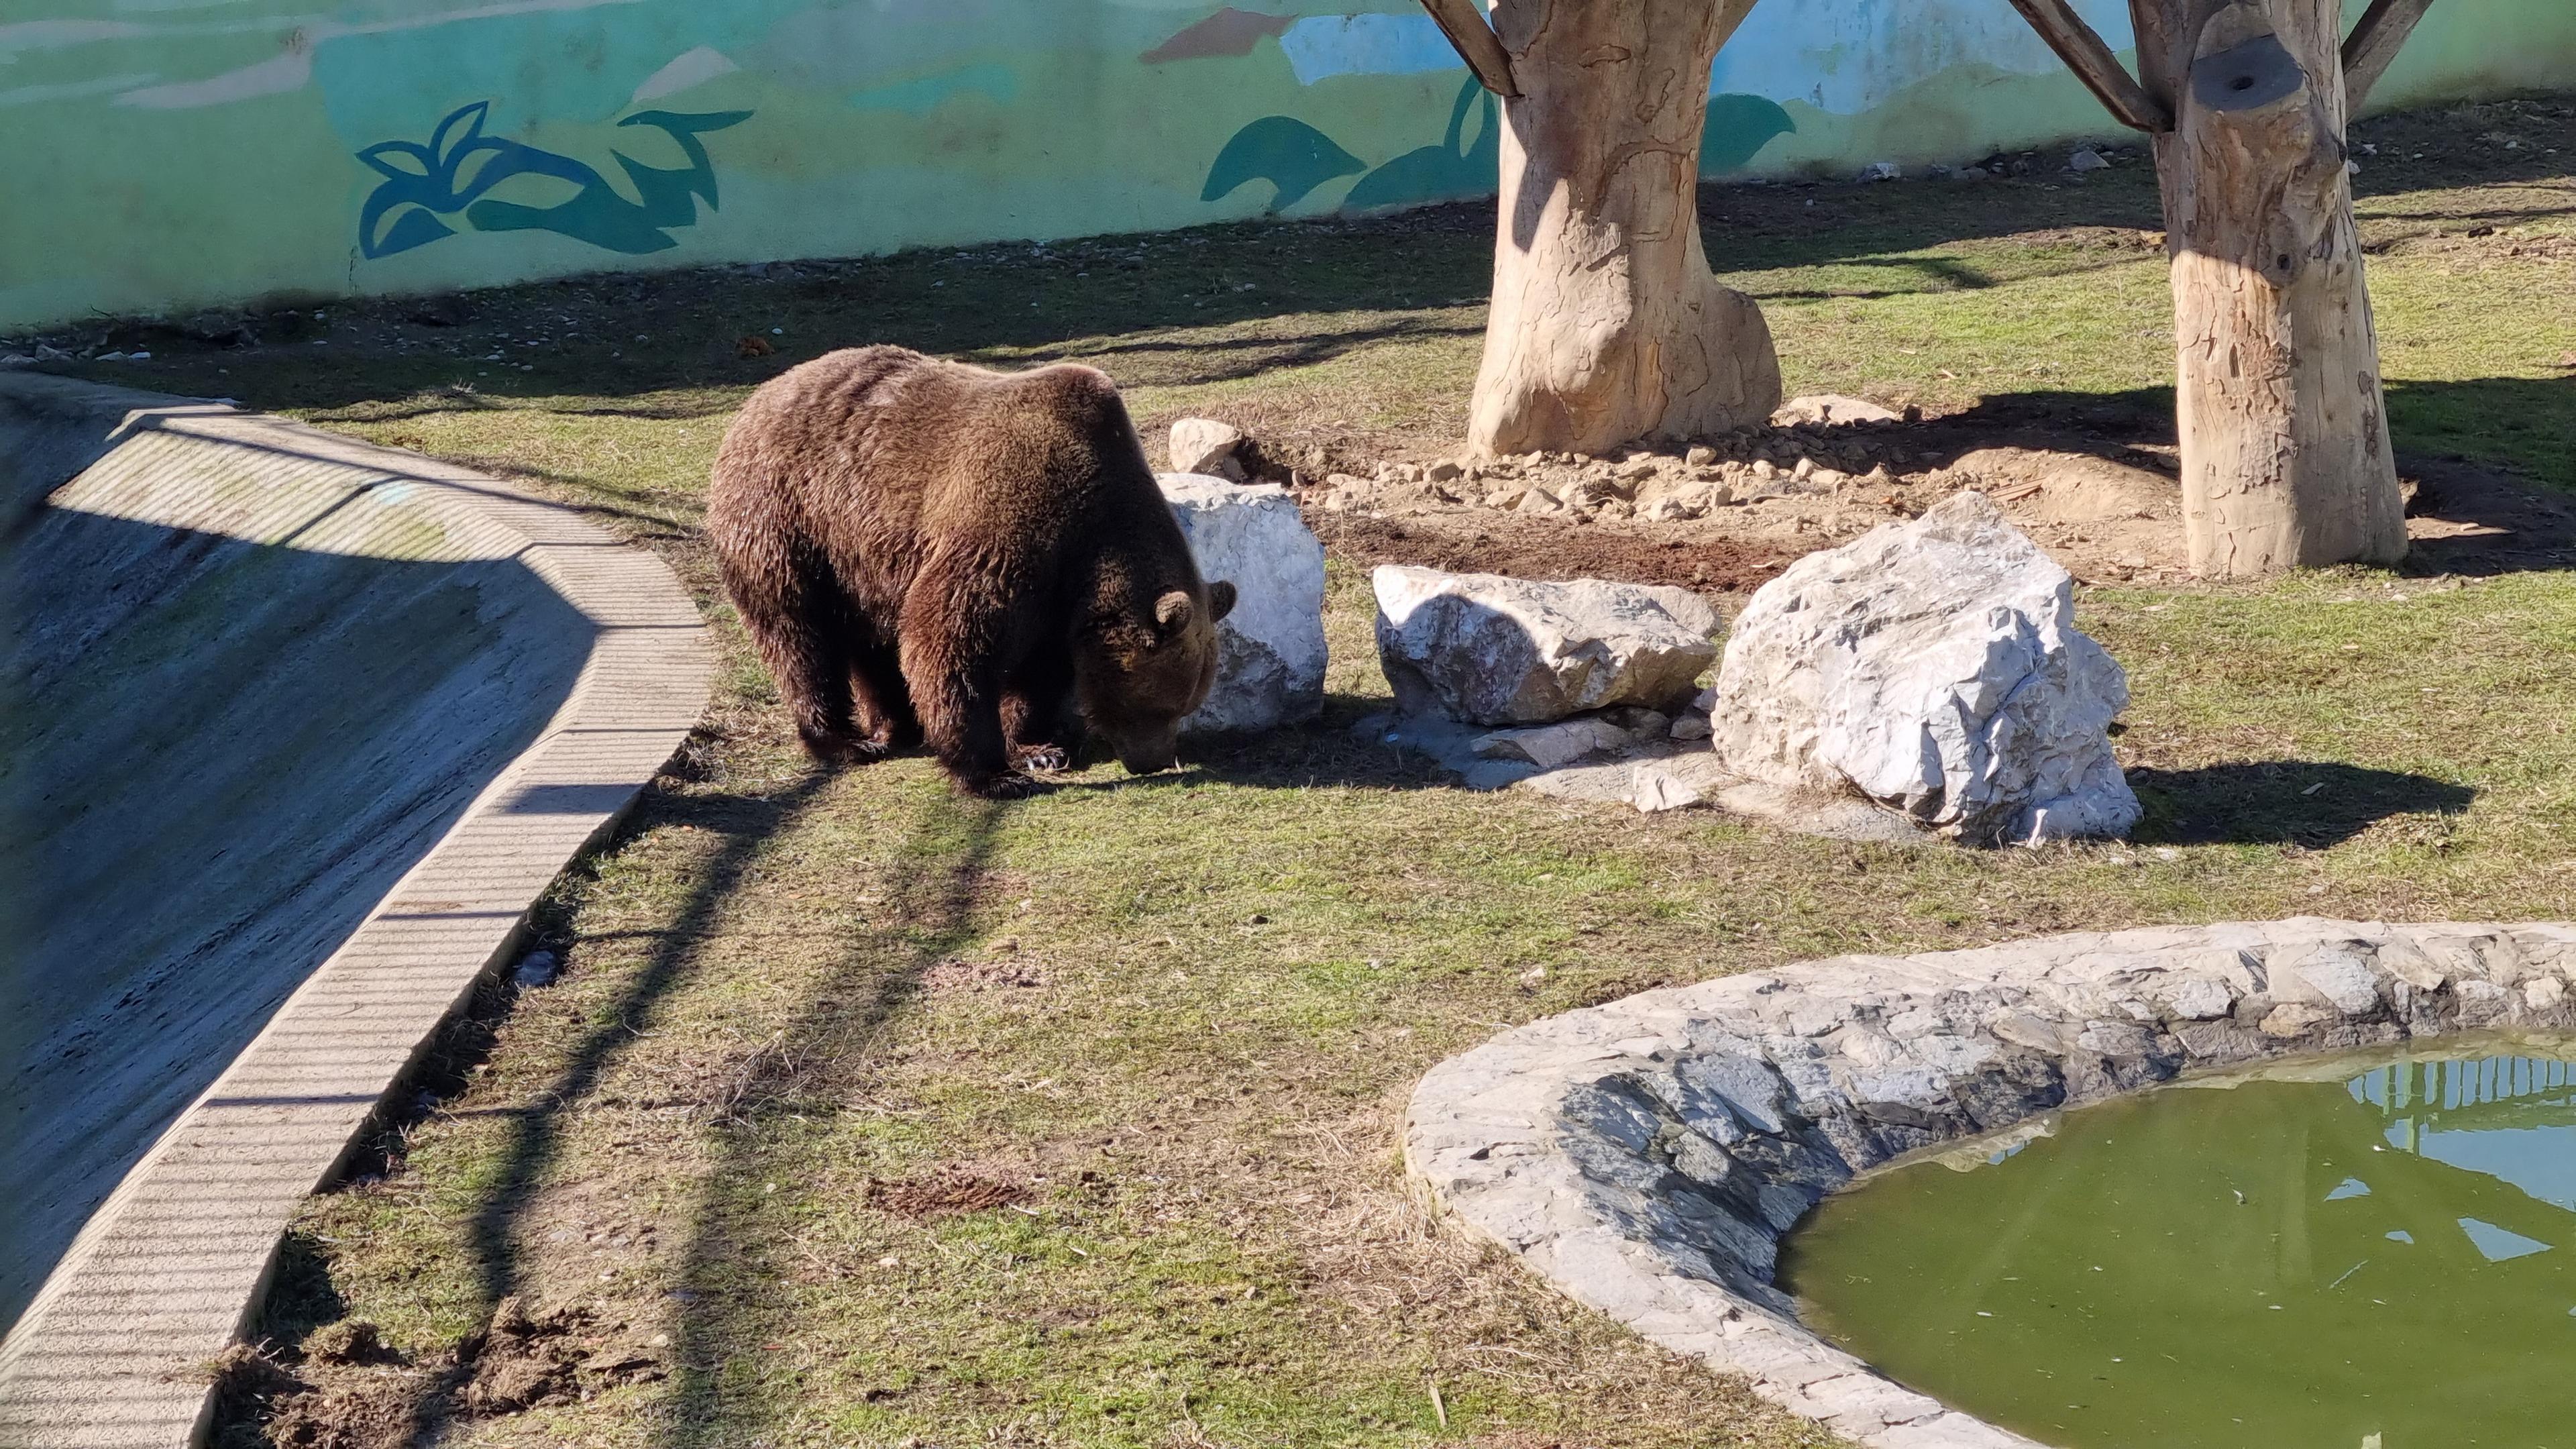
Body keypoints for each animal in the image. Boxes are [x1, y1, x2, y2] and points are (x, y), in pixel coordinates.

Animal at [700, 343, 1231, 794]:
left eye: (1189, 702)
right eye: (1164, 704)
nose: (1156, 761)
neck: (1093, 533)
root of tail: (759, 397)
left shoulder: (1058, 598)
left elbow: (1038, 671)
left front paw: (1040, 749)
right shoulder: (1010, 527)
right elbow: (950, 637)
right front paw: (995, 773)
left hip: (859, 559)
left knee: (872, 642)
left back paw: (898, 725)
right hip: (787, 518)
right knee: (799, 634)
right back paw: (846, 740)